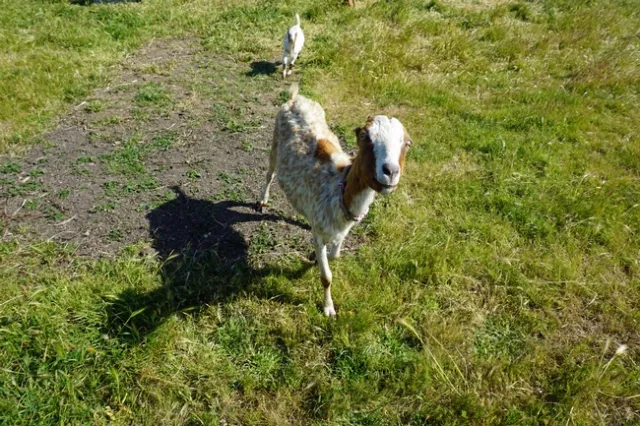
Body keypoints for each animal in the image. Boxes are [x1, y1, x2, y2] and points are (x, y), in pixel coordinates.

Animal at [258, 84, 412, 316]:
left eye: (407, 143)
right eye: (364, 136)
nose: (390, 172)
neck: (339, 185)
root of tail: (296, 98)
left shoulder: (341, 230)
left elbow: (334, 256)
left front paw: (314, 258)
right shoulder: (320, 232)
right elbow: (326, 277)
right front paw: (328, 308)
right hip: (275, 142)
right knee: (269, 174)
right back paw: (262, 201)